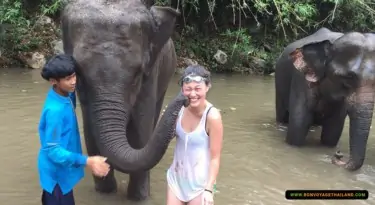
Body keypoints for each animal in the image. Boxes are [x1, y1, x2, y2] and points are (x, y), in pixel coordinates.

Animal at [60, 0, 187, 201]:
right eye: (79, 73)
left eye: (137, 75)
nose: (185, 96)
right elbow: (90, 133)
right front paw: (105, 191)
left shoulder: (151, 75)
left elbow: (141, 133)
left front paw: (139, 198)